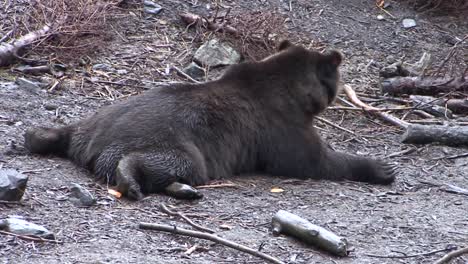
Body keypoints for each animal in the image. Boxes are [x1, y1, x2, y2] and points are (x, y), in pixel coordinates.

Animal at [23, 40, 396, 199]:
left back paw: (34, 136)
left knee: (64, 129)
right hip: (172, 139)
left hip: (96, 116)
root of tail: (92, 145)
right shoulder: (281, 126)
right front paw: (381, 167)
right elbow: (314, 161)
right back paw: (131, 180)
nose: (334, 93)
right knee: (177, 162)